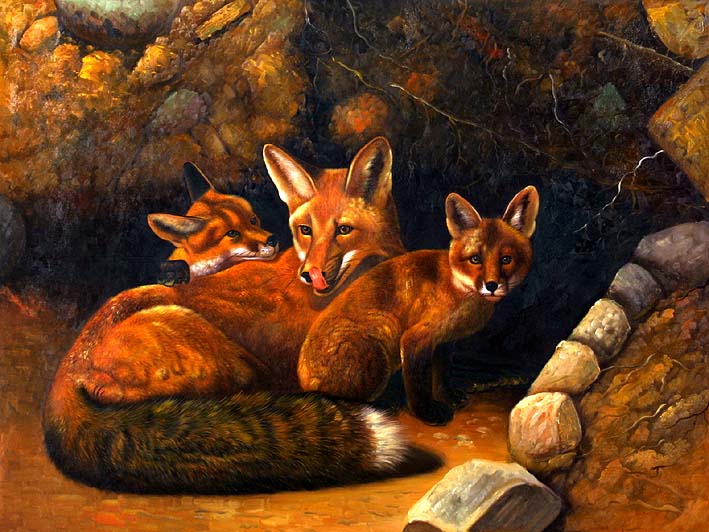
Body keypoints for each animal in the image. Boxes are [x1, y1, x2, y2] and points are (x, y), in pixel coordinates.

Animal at [297, 186, 539, 425]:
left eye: (506, 259)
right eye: (475, 259)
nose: (491, 285)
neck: (459, 290)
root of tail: (303, 380)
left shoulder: (443, 340)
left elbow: (441, 376)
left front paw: (447, 396)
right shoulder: (415, 338)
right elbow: (418, 385)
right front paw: (427, 412)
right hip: (381, 345)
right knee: (347, 402)